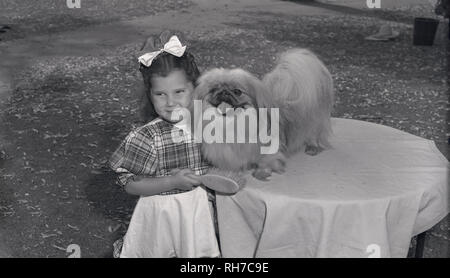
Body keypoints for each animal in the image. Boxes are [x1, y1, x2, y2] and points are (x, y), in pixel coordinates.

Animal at [193, 48, 334, 180]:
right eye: (213, 89)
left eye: (237, 91)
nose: (224, 92)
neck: (231, 122)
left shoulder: (268, 148)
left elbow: (266, 160)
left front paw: (262, 173)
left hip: (314, 123)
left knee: (314, 134)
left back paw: (312, 147)